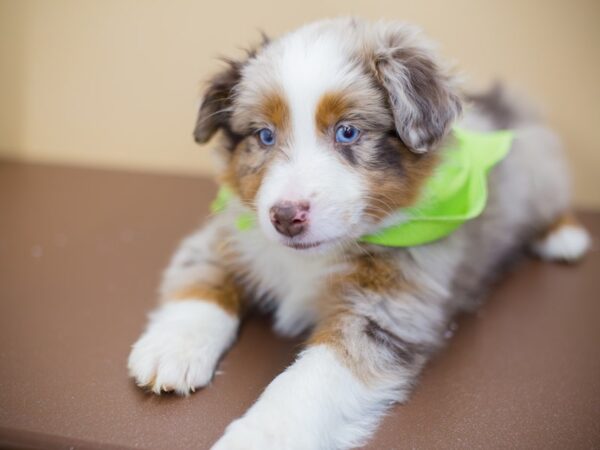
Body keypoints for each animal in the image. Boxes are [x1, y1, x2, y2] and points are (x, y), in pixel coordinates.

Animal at [126, 17, 592, 450]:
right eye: (264, 135)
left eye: (347, 132)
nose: (285, 217)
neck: (311, 258)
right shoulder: (230, 233)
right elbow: (200, 282)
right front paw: (172, 346)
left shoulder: (385, 312)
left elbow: (307, 383)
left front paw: (259, 436)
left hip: (543, 172)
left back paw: (563, 236)